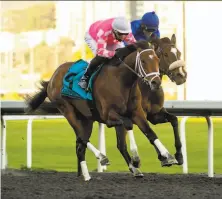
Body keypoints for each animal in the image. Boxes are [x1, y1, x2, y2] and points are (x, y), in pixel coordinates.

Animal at [25, 41, 175, 181]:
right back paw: (101, 157)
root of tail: (52, 78)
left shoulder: (137, 113)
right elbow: (128, 124)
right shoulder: (108, 116)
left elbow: (149, 132)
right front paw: (136, 158)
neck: (121, 81)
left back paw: (86, 175)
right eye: (143, 61)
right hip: (67, 110)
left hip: (86, 119)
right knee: (81, 137)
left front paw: (168, 156)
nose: (156, 82)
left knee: (81, 145)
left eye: (157, 60)